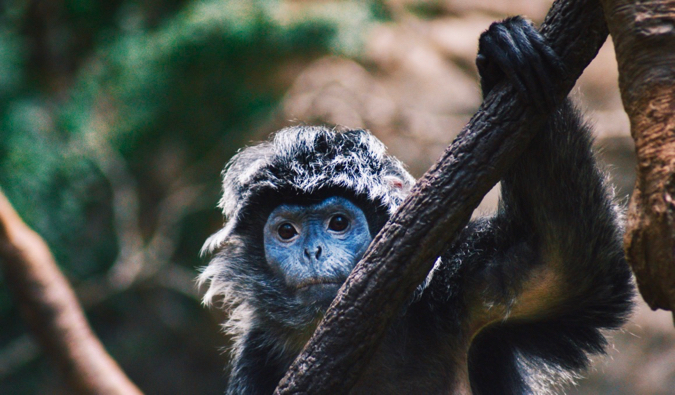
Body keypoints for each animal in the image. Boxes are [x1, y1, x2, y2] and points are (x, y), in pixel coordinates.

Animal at [199, 17, 632, 394]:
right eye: (286, 231)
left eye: (338, 223)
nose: (313, 251)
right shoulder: (257, 360)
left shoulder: (466, 285)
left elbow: (568, 267)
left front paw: (502, 57)